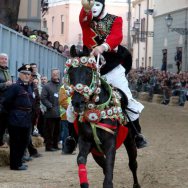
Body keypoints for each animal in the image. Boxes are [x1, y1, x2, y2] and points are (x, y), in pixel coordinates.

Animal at [64, 45, 140, 188]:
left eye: (89, 72)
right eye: (70, 73)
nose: (77, 103)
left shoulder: (110, 143)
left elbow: (109, 170)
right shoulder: (86, 141)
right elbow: (81, 159)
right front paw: (84, 183)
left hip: (129, 140)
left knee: (133, 164)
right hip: (97, 152)